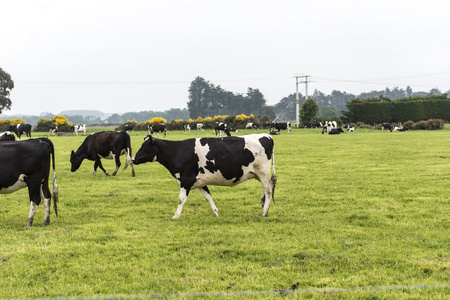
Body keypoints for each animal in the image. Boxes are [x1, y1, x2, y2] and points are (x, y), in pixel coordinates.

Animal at [132, 133, 276, 218]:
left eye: (144, 147)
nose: (133, 159)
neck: (177, 151)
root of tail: (266, 136)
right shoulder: (200, 181)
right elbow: (208, 196)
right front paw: (215, 212)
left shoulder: (186, 179)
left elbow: (181, 199)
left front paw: (176, 216)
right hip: (258, 173)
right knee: (265, 189)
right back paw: (263, 205)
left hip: (262, 171)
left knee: (268, 190)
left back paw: (264, 211)